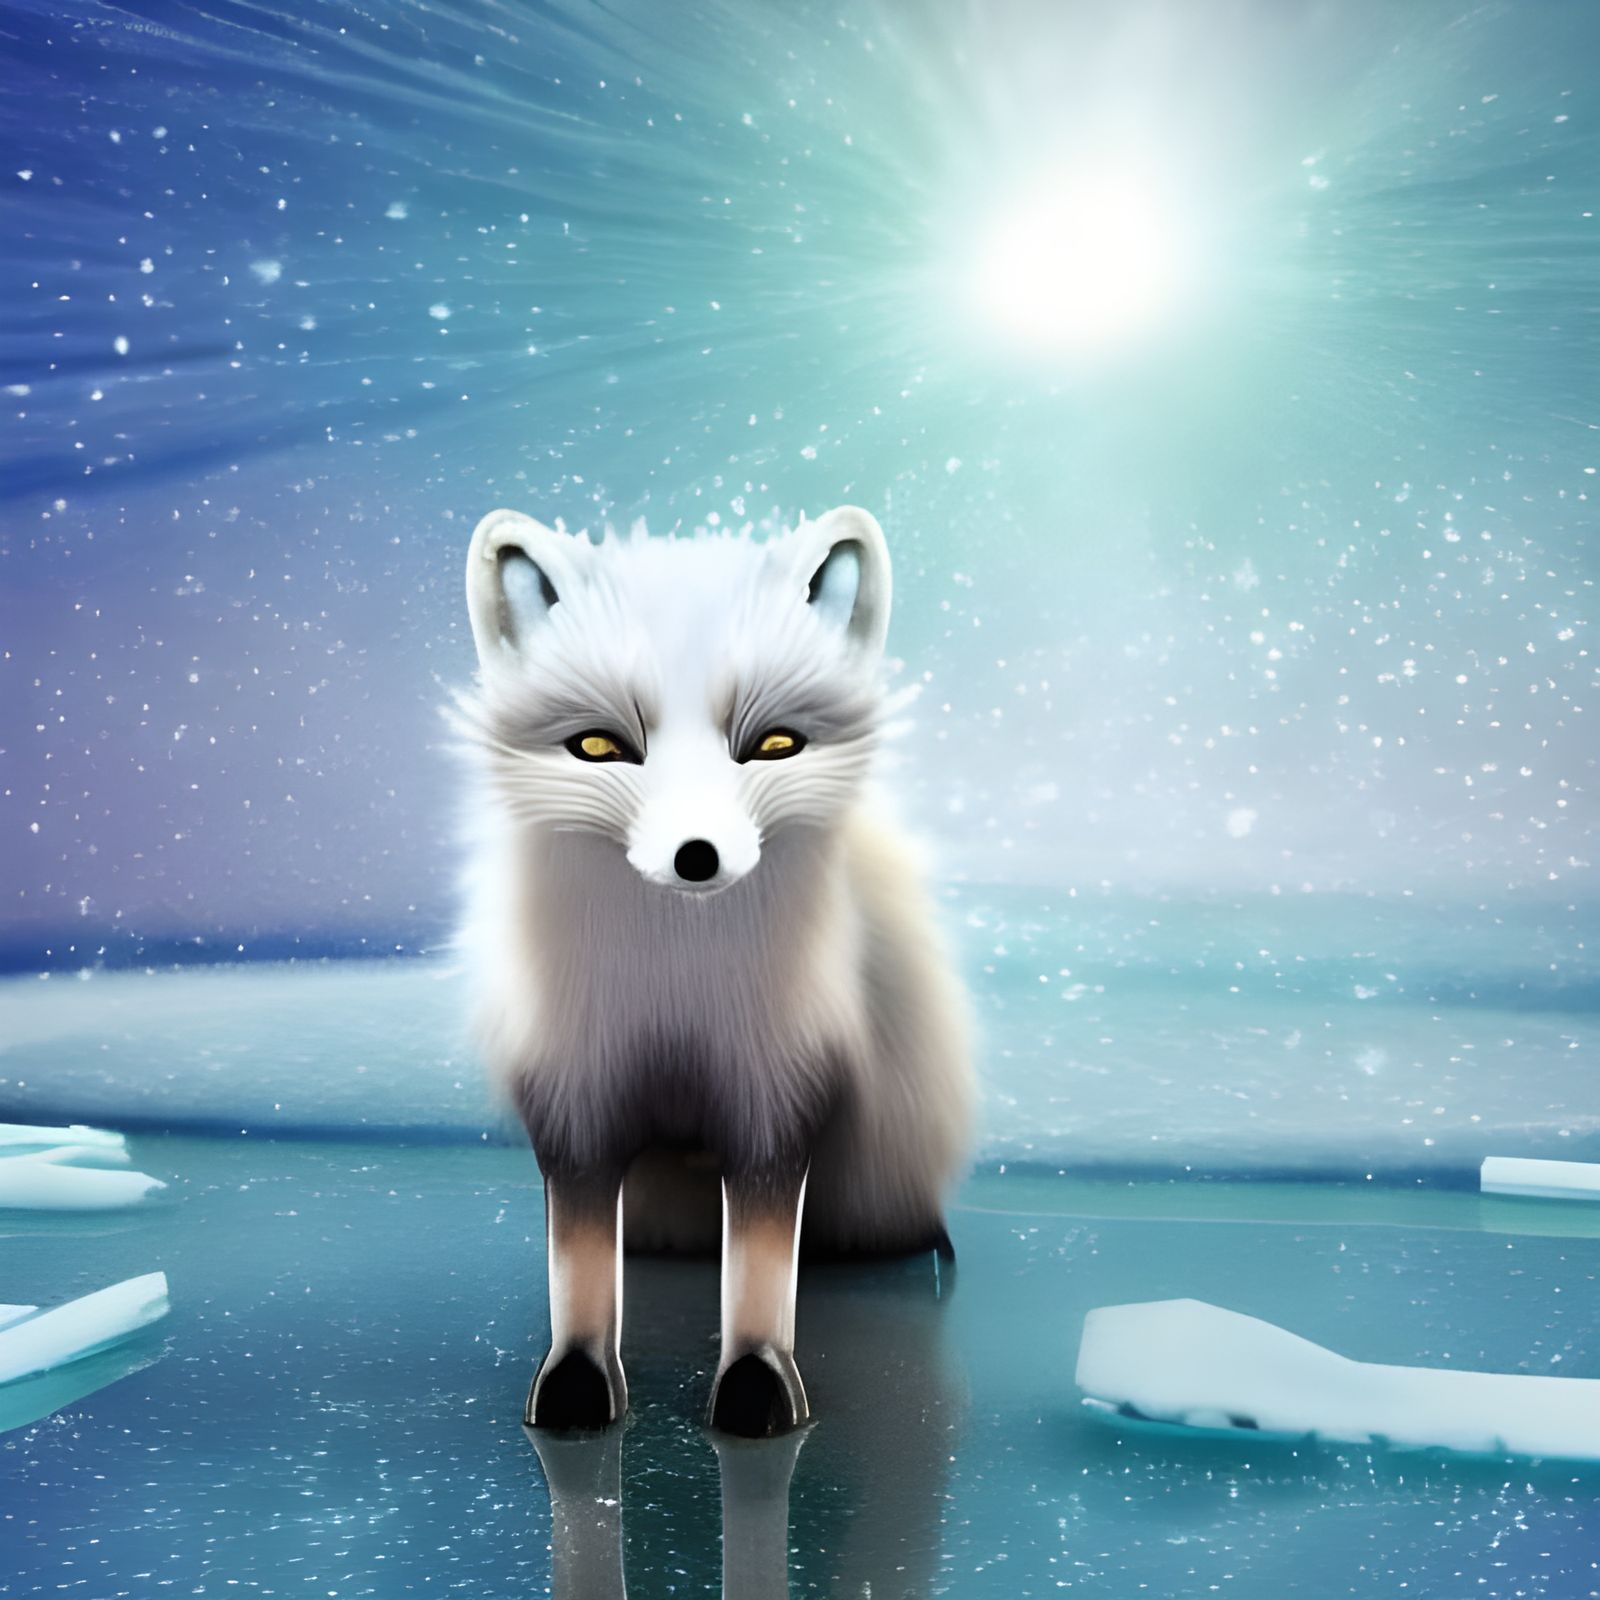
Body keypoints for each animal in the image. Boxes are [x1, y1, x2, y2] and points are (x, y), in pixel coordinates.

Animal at [456, 503, 974, 1438]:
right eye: (599, 746)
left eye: (774, 744)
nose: (696, 856)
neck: (679, 993)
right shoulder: (576, 1095)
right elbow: (578, 1267)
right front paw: (576, 1387)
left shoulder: (777, 1091)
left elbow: (763, 1272)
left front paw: (759, 1390)